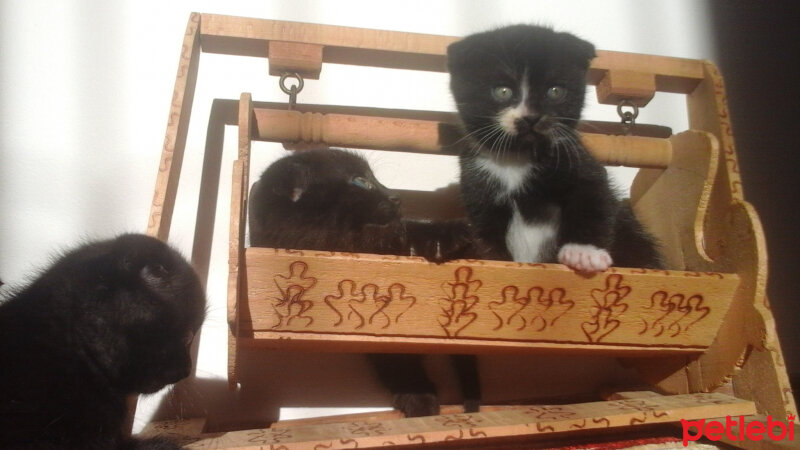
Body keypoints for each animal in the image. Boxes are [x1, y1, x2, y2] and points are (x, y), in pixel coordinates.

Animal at [247, 150, 478, 418]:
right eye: (360, 181)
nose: (396, 197)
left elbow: (409, 228)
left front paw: (450, 235)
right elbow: (397, 360)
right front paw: (418, 398)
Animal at [450, 24, 664, 270]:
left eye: (555, 91)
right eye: (503, 91)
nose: (531, 117)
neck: (518, 158)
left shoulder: (579, 161)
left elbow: (594, 200)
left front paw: (584, 253)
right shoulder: (477, 188)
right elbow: (486, 234)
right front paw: (494, 260)